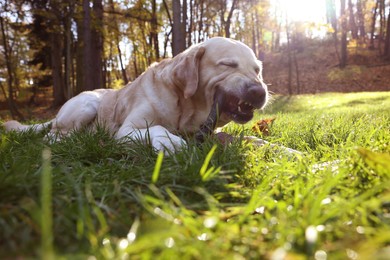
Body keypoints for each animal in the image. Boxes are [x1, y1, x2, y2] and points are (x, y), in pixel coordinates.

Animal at [3, 37, 268, 153]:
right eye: (228, 65)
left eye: (257, 70)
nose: (259, 91)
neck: (185, 107)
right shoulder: (128, 129)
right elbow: (157, 128)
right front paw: (171, 141)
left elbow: (242, 137)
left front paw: (269, 145)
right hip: (88, 103)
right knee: (53, 137)